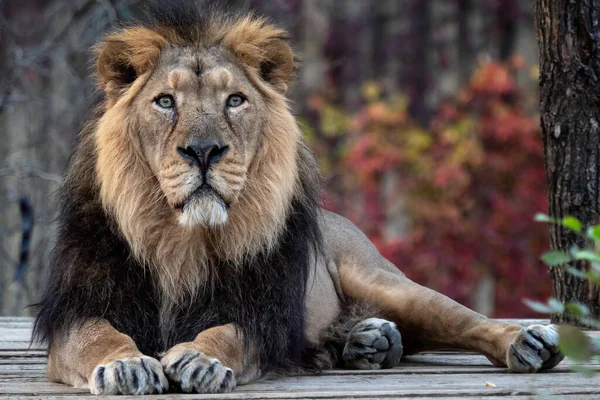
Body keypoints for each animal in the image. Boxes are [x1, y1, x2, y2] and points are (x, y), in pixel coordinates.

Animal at [34, 2, 564, 396]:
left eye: (235, 100)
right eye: (165, 101)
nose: (203, 151)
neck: (179, 240)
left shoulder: (261, 313)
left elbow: (228, 333)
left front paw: (201, 359)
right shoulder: (77, 312)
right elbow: (99, 336)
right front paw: (126, 365)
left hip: (381, 278)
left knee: (461, 319)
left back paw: (526, 340)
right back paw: (370, 341)